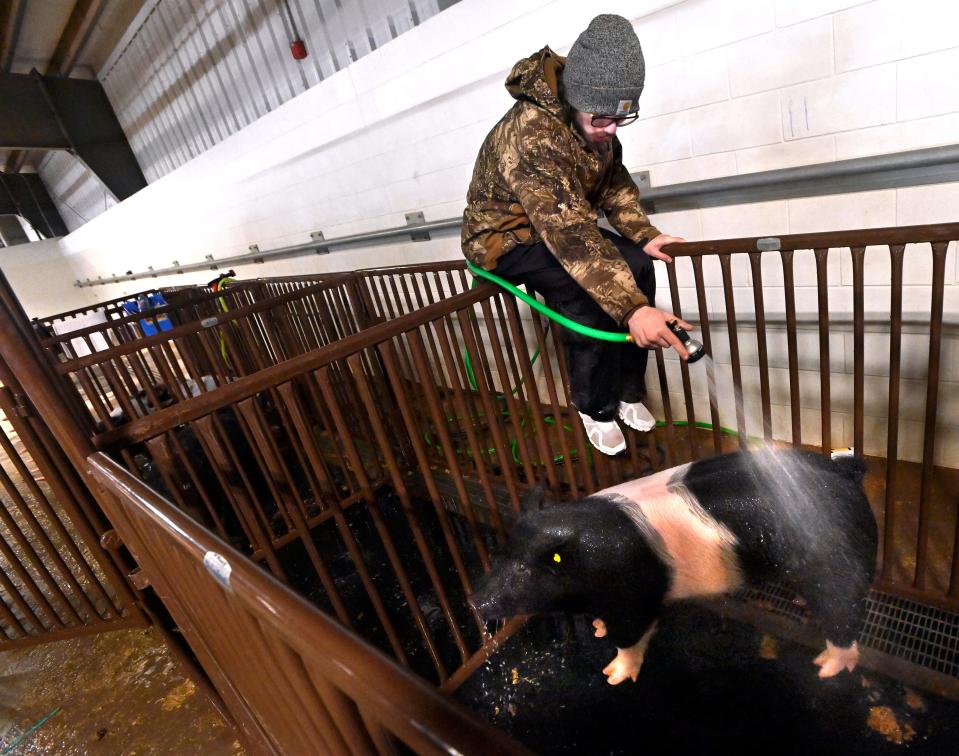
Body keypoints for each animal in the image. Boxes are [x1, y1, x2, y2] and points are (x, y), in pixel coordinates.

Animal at [470, 448, 876, 684]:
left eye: (525, 570)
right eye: (501, 554)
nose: (475, 601)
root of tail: (848, 473)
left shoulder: (636, 597)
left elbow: (631, 637)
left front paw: (612, 675)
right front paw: (598, 629)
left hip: (837, 559)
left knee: (844, 612)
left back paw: (824, 667)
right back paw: (799, 605)